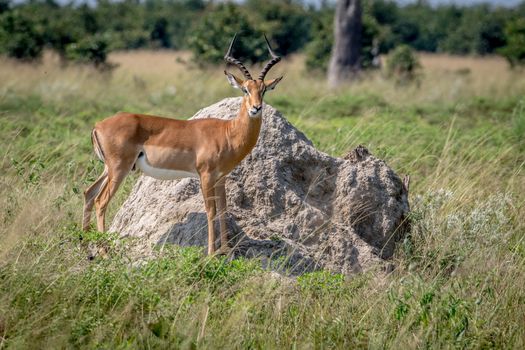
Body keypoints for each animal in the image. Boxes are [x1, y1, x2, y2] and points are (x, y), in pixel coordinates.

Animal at [81, 34, 280, 254]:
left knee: (88, 193)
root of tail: (98, 125)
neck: (227, 133)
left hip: (108, 169)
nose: (256, 108)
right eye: (245, 89)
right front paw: (211, 254)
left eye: (263, 90)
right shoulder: (206, 176)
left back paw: (85, 249)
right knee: (100, 201)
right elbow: (211, 211)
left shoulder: (221, 178)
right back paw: (104, 254)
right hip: (119, 168)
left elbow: (223, 210)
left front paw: (226, 251)